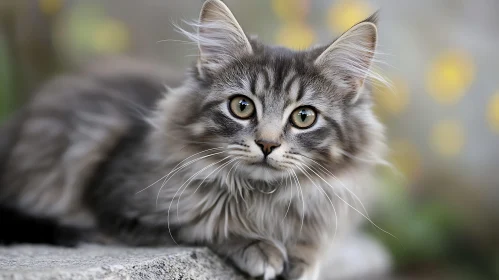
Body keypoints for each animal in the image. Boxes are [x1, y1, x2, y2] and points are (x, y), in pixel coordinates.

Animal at [0, 0, 390, 280]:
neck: (262, 198)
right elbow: (205, 224)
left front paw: (302, 259)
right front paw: (259, 246)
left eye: (304, 117)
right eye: (242, 107)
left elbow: (313, 241)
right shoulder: (121, 205)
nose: (267, 145)